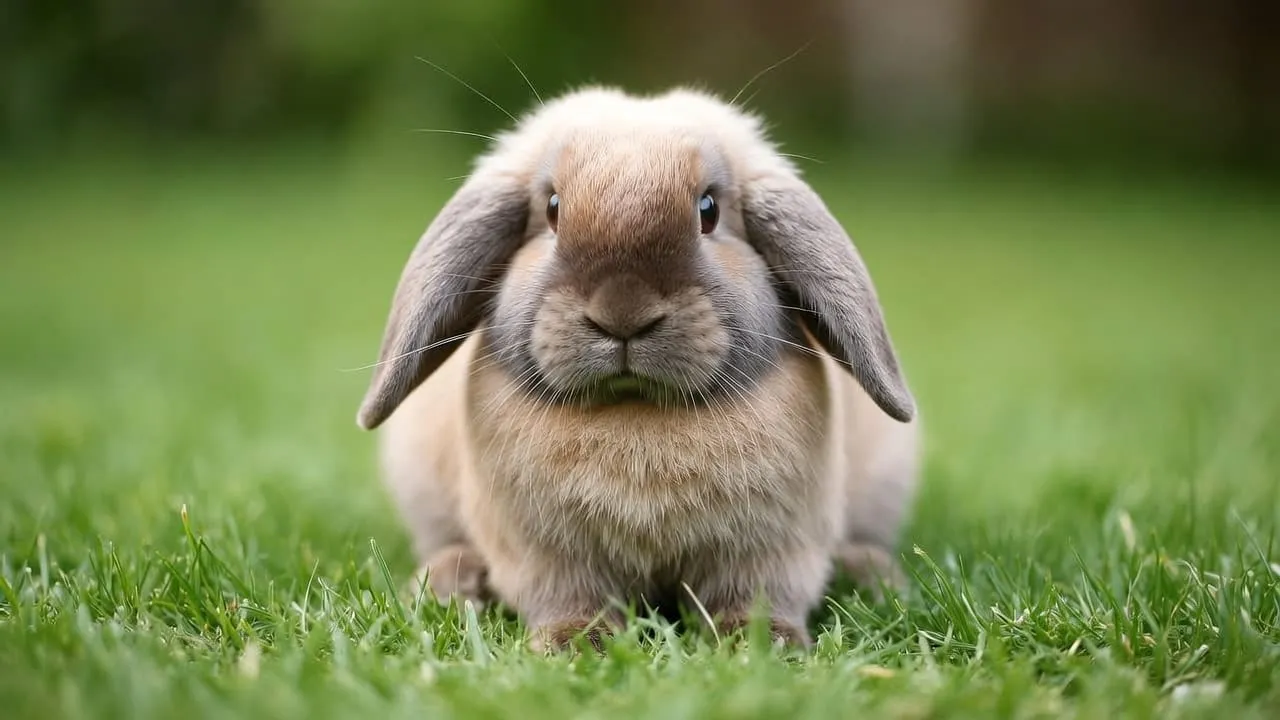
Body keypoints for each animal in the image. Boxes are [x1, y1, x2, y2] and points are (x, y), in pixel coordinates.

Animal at [355, 86, 922, 652]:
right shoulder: (547, 556)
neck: (635, 409)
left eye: (709, 211)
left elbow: (756, 597)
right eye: (553, 209)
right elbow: (568, 599)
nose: (622, 311)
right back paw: (449, 581)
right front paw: (576, 643)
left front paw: (761, 644)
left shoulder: (772, 547)